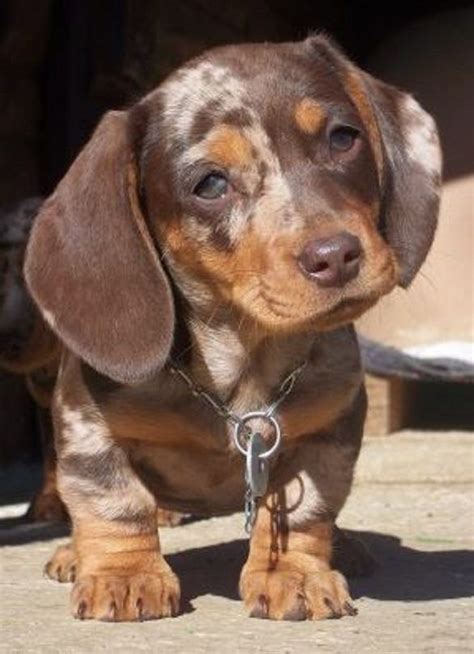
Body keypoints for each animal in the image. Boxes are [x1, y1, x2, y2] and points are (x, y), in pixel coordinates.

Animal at [25, 37, 440, 624]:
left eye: (343, 137)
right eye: (211, 184)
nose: (336, 256)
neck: (240, 362)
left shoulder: (329, 432)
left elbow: (303, 511)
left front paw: (293, 573)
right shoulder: (85, 423)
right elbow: (116, 501)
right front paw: (125, 576)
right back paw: (72, 554)